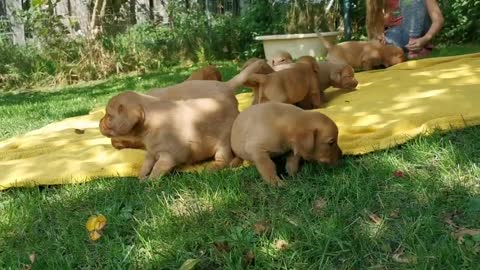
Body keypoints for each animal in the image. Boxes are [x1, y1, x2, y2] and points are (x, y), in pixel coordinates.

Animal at [100, 90, 238, 179]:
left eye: (109, 116)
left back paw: (212, 167)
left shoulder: (167, 157)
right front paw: (141, 177)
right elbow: (146, 165)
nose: (100, 121)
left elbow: (156, 170)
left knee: (224, 160)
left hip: (223, 145)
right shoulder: (151, 152)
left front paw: (149, 184)